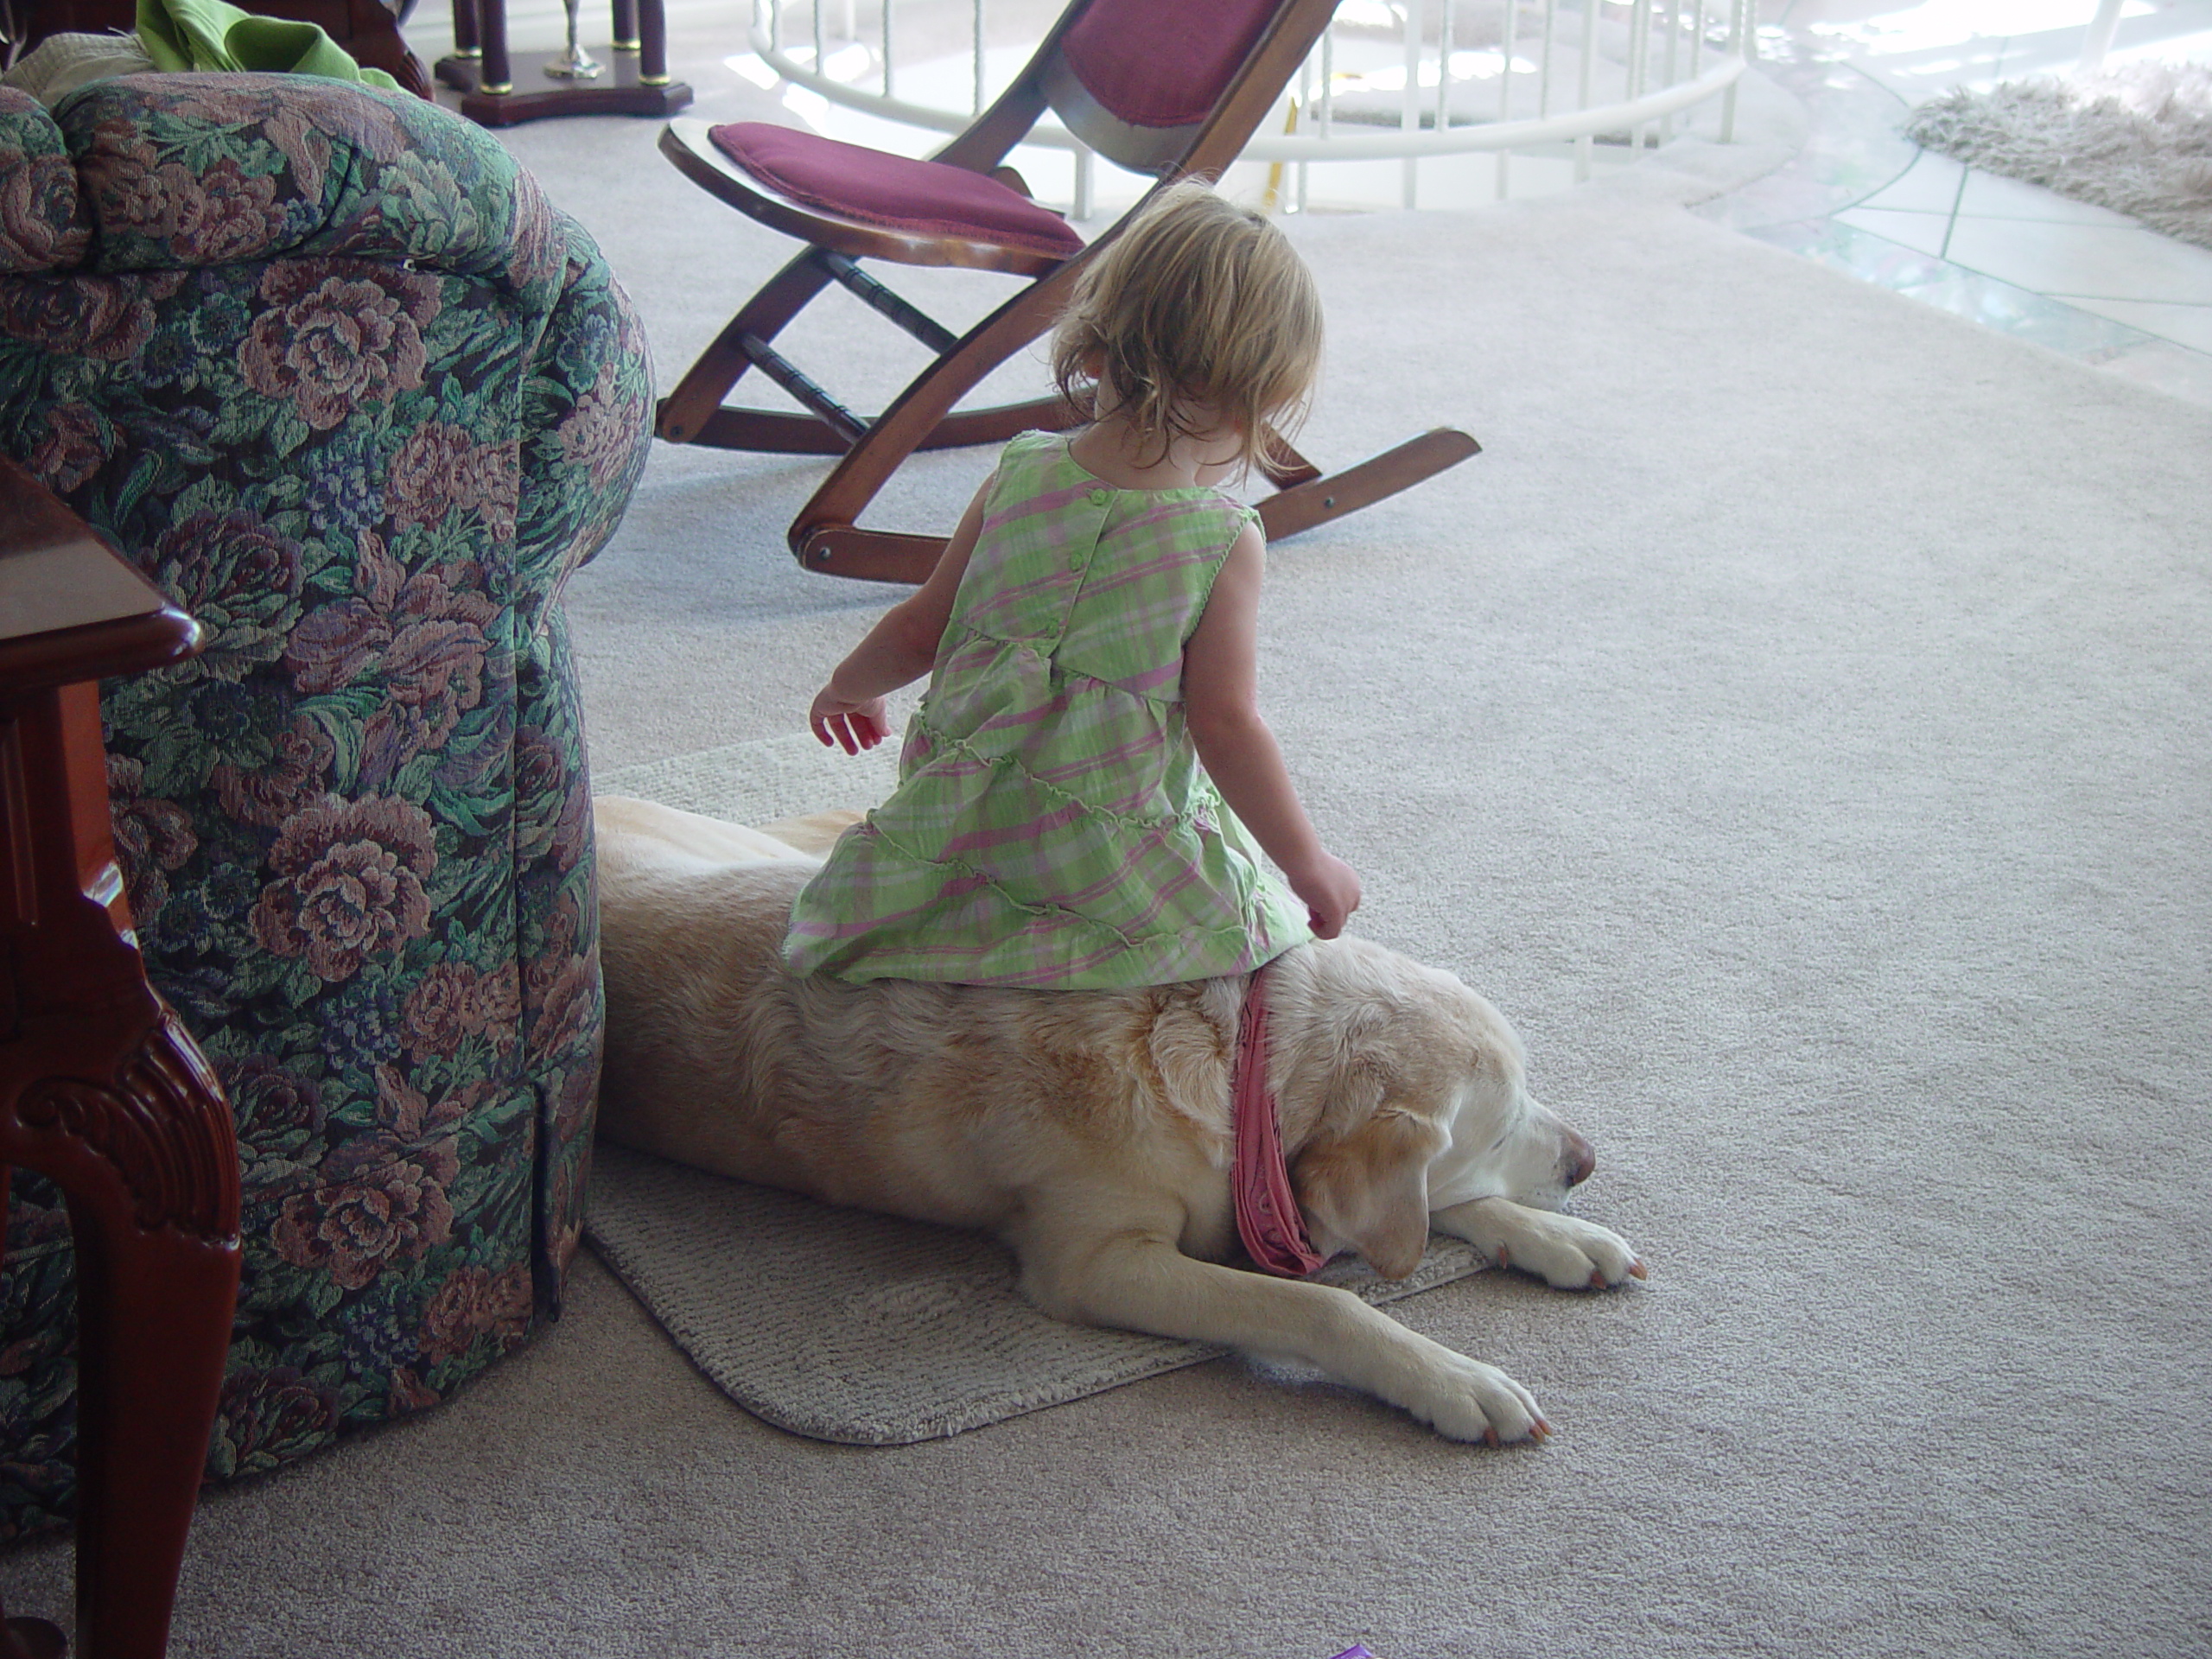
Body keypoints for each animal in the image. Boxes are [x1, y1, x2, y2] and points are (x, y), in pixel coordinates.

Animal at [593, 800, 1645, 1451]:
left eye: (1524, 1104)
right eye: (1497, 1128)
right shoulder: (1098, 1262)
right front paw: (1454, 1381)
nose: (1587, 1161)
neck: (1239, 1066)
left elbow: (1432, 1214)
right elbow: (1324, 1303)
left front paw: (1559, 1237)